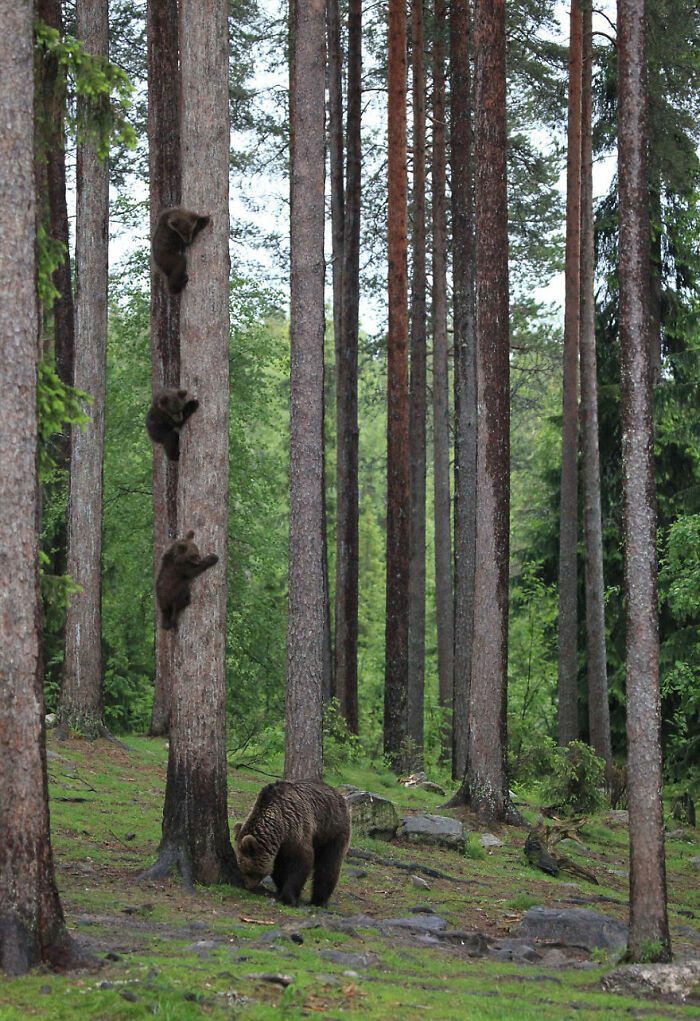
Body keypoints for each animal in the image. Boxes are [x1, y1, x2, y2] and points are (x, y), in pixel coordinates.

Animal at [234, 780, 351, 910]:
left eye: (248, 871)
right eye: (242, 868)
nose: (248, 886)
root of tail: (339, 795)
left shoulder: (295, 827)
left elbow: (301, 862)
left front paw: (288, 899)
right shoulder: (279, 847)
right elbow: (279, 868)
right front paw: (281, 889)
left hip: (333, 830)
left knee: (329, 865)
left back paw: (319, 900)